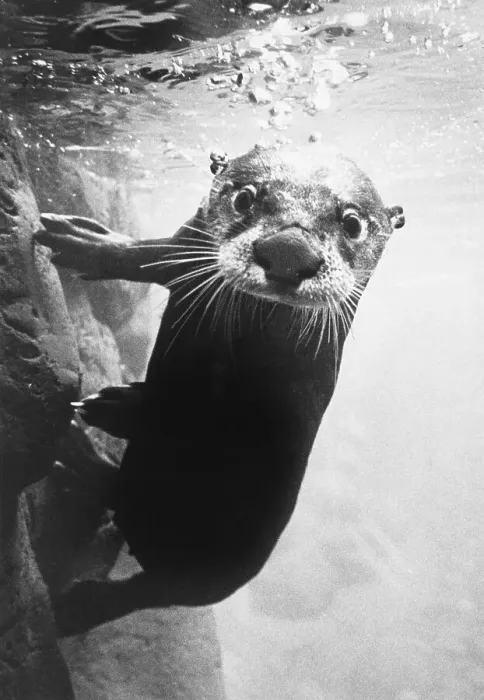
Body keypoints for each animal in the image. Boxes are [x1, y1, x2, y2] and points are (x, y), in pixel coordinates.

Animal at [37, 144, 404, 635]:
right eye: (245, 198)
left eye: (352, 223)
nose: (289, 250)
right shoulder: (183, 244)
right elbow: (148, 257)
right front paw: (85, 242)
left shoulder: (286, 403)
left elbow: (206, 422)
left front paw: (123, 407)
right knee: (116, 491)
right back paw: (83, 458)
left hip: (207, 580)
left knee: (144, 592)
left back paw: (78, 606)